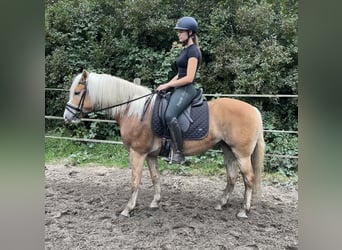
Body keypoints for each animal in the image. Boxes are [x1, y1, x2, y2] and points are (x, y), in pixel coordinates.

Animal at [65, 69, 268, 218]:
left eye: (77, 92)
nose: (67, 117)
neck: (133, 110)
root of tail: (254, 110)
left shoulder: (137, 153)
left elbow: (135, 181)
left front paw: (128, 209)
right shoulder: (150, 155)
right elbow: (155, 177)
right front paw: (155, 202)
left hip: (241, 154)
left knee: (249, 178)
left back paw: (243, 210)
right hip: (228, 150)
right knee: (232, 177)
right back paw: (221, 203)